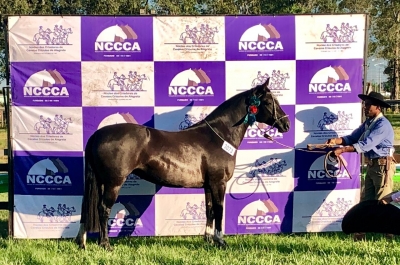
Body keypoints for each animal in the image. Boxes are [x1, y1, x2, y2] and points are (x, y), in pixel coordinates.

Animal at [75, 78, 290, 250]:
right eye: (268, 102)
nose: (286, 124)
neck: (219, 137)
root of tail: (97, 134)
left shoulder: (209, 185)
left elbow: (210, 210)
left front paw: (208, 240)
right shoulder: (219, 183)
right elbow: (219, 210)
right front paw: (221, 241)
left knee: (87, 208)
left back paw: (82, 243)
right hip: (113, 182)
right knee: (103, 208)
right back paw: (105, 244)